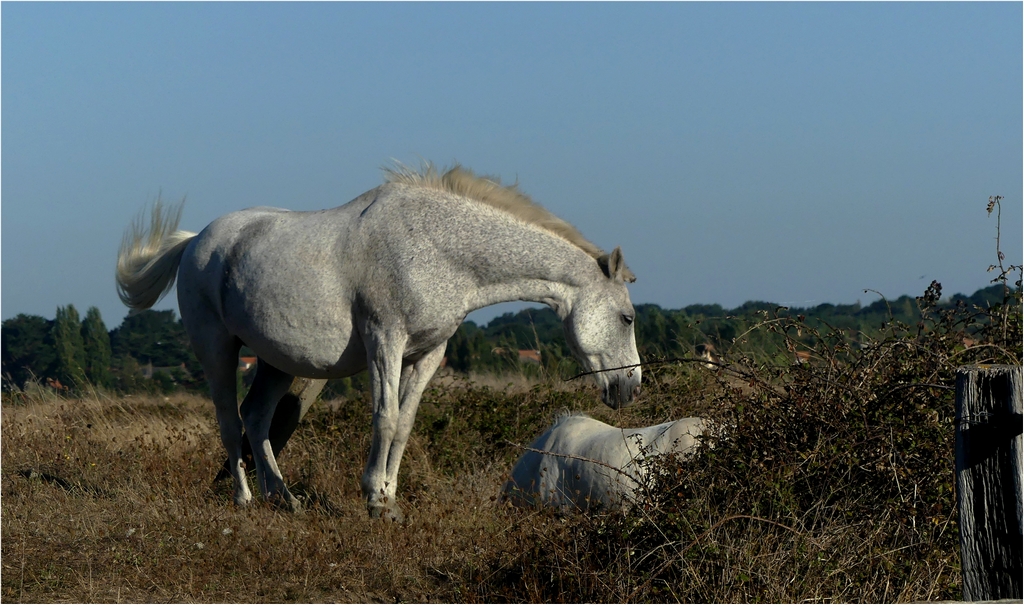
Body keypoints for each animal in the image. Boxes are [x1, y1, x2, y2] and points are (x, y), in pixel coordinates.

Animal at [112, 164, 638, 520]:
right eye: (628, 317)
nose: (630, 388)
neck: (438, 247)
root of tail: (195, 241)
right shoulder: (385, 340)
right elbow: (383, 420)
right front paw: (373, 501)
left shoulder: (426, 354)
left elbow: (403, 424)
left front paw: (388, 498)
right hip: (217, 350)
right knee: (228, 420)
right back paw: (244, 497)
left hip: (277, 362)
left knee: (257, 419)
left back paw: (283, 498)